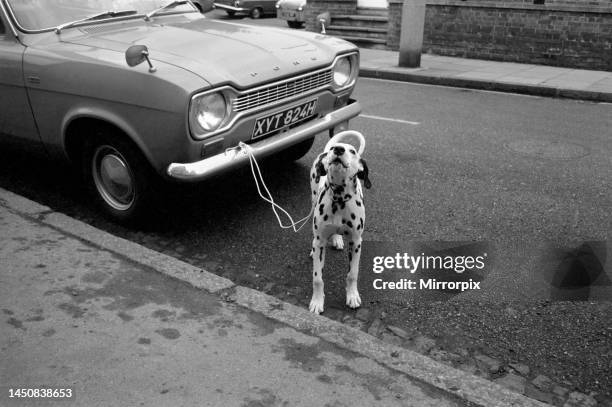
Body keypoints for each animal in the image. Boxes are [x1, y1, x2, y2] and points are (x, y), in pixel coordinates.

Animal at [308, 132, 370, 314]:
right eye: (335, 151)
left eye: (353, 151)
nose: (338, 149)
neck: (339, 199)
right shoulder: (320, 241)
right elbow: (318, 278)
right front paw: (317, 302)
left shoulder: (356, 243)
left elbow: (352, 274)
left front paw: (352, 296)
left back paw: (336, 239)